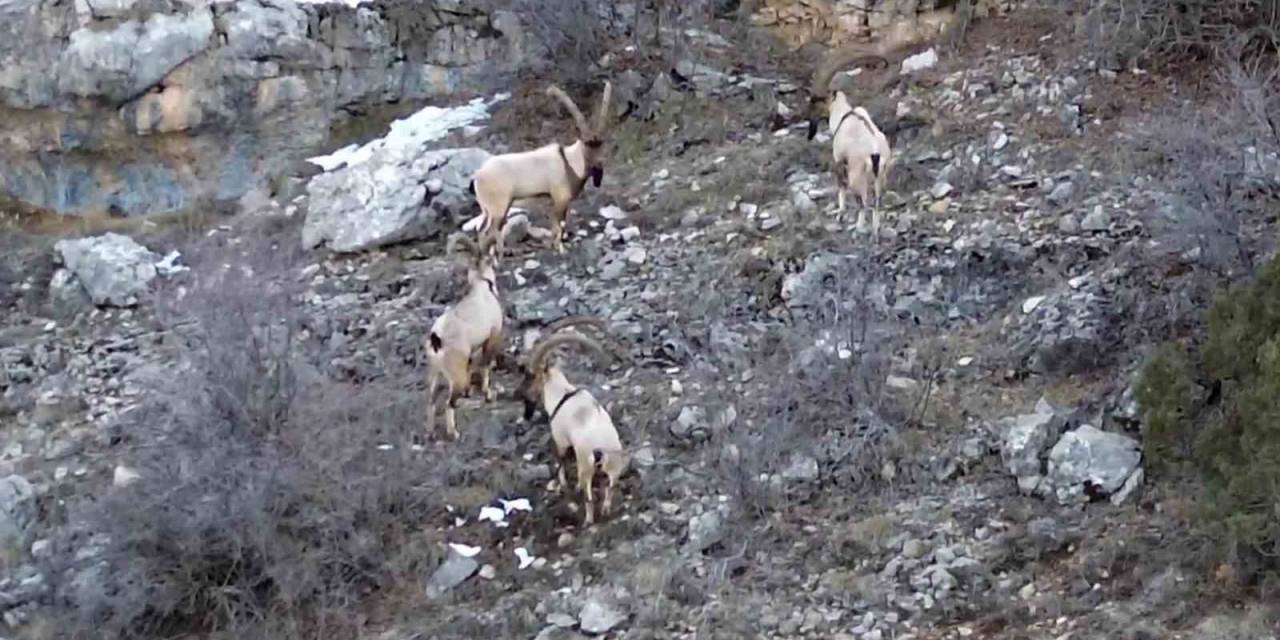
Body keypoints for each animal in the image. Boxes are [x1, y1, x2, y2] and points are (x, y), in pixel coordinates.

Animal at [427, 234, 501, 440]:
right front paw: (488, 394)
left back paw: (431, 433)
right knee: (448, 404)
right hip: (455, 378)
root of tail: (437, 338)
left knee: (431, 401)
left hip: (435, 375)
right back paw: (454, 433)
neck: (483, 291)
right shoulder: (492, 338)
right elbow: (485, 365)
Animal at [512, 317, 627, 527]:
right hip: (614, 467)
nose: (517, 394)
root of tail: (602, 450)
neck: (563, 394)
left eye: (530, 376)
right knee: (610, 489)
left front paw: (560, 486)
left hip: (585, 467)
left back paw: (587, 521)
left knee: (588, 497)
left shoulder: (561, 441)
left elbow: (561, 464)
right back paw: (606, 511)